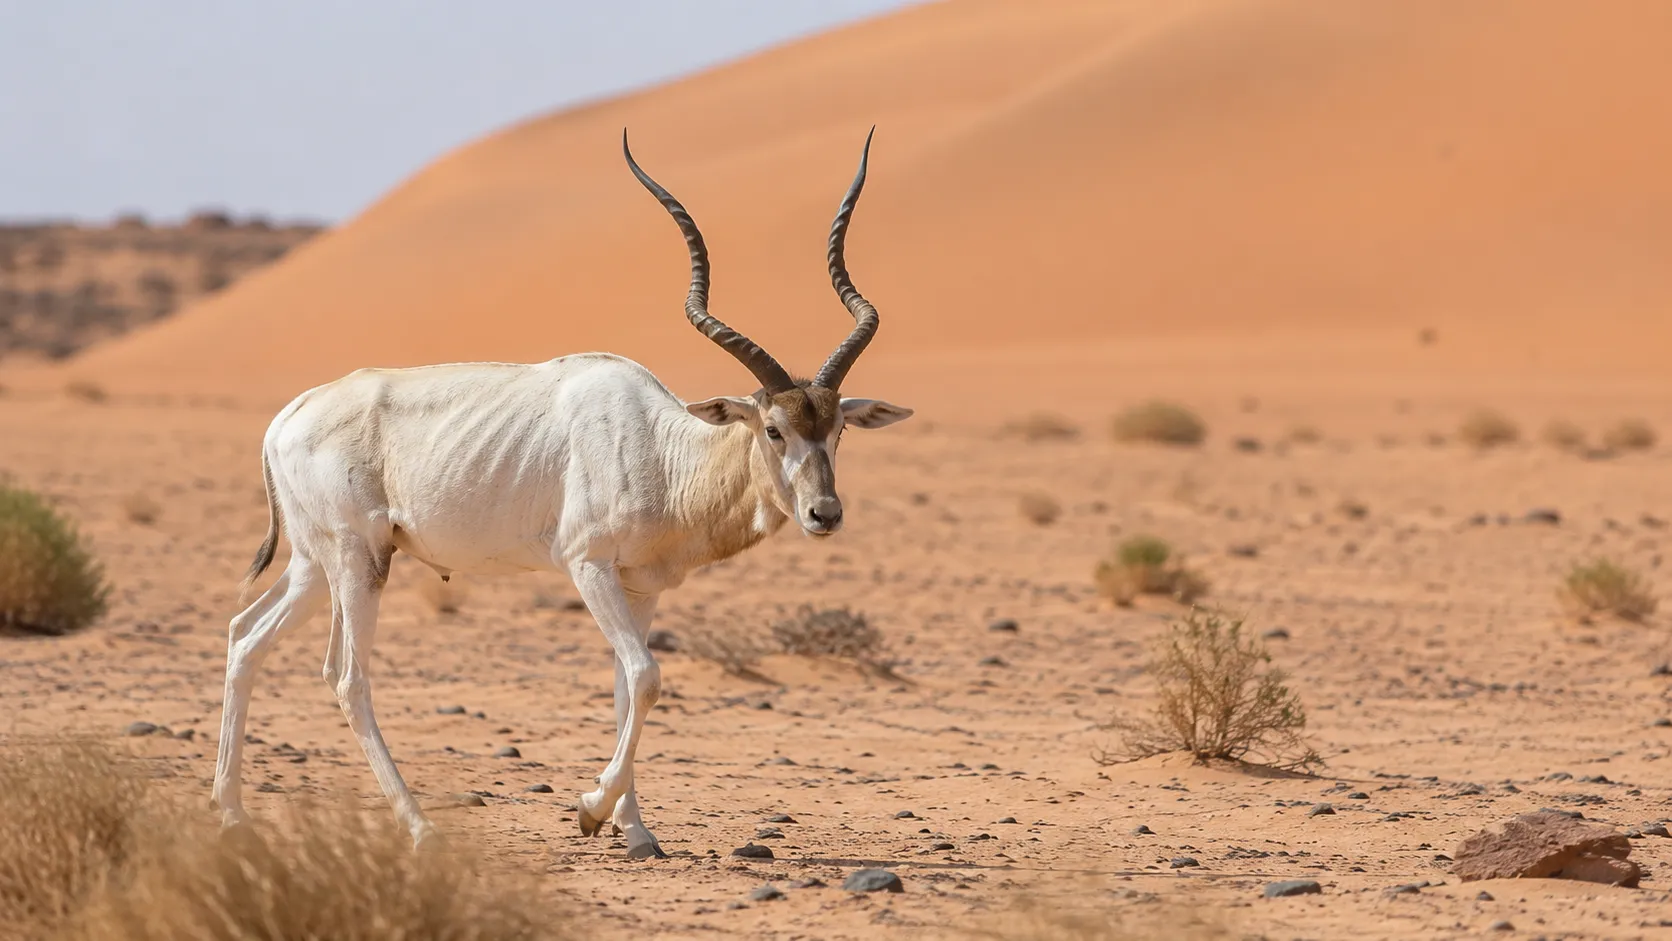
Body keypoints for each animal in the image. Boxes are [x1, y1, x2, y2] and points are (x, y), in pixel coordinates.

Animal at [210, 128, 912, 859]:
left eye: (836, 429)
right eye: (773, 428)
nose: (824, 513)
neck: (657, 443)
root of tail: (289, 415)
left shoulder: (641, 586)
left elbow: (628, 686)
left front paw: (636, 831)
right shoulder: (587, 565)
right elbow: (648, 676)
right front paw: (590, 809)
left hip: (314, 563)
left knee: (245, 636)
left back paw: (233, 815)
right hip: (359, 559)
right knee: (347, 678)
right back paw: (420, 827)